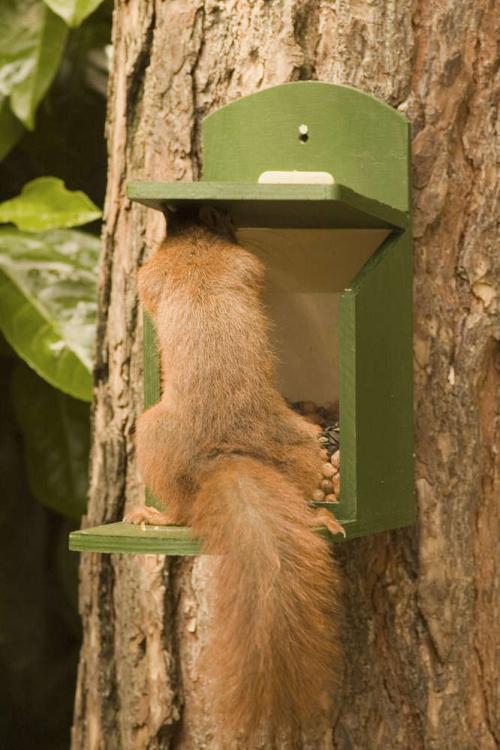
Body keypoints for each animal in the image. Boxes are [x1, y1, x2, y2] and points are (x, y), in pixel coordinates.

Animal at [125, 222, 344, 741]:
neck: (198, 247)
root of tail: (228, 455)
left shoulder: (158, 273)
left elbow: (146, 286)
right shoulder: (243, 264)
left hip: (151, 433)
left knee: (182, 509)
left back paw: (156, 514)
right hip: (299, 440)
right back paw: (318, 517)